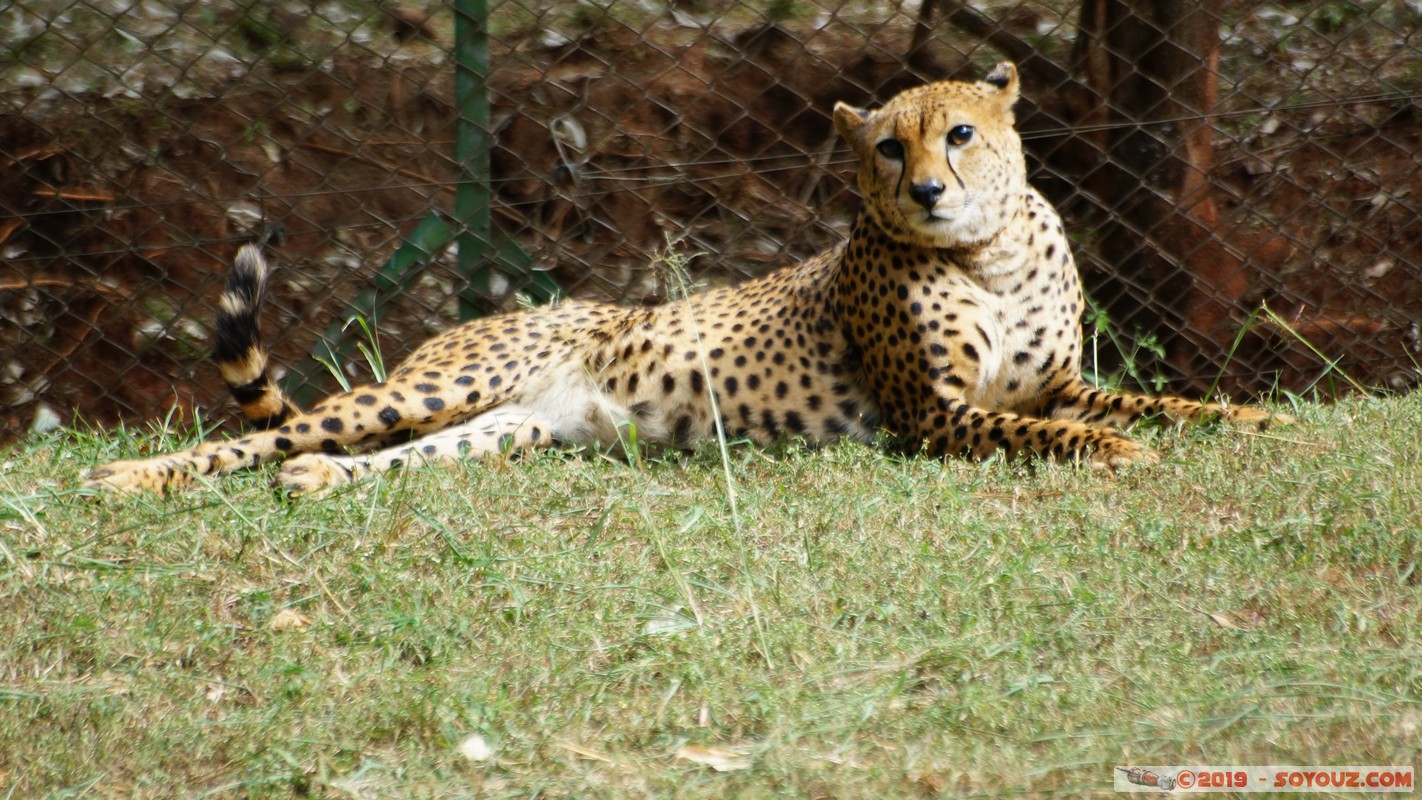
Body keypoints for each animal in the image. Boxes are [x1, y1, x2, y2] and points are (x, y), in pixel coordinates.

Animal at [82, 62, 1291, 497]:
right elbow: (1055, 433)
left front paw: (1261, 422)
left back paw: (321, 483)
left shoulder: (1058, 381)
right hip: (434, 385)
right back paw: (131, 480)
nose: (927, 190)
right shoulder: (935, 417)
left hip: (505, 430)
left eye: (958, 132)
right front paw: (1115, 454)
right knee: (264, 432)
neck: (986, 257)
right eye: (886, 148)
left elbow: (1166, 401)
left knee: (377, 457)